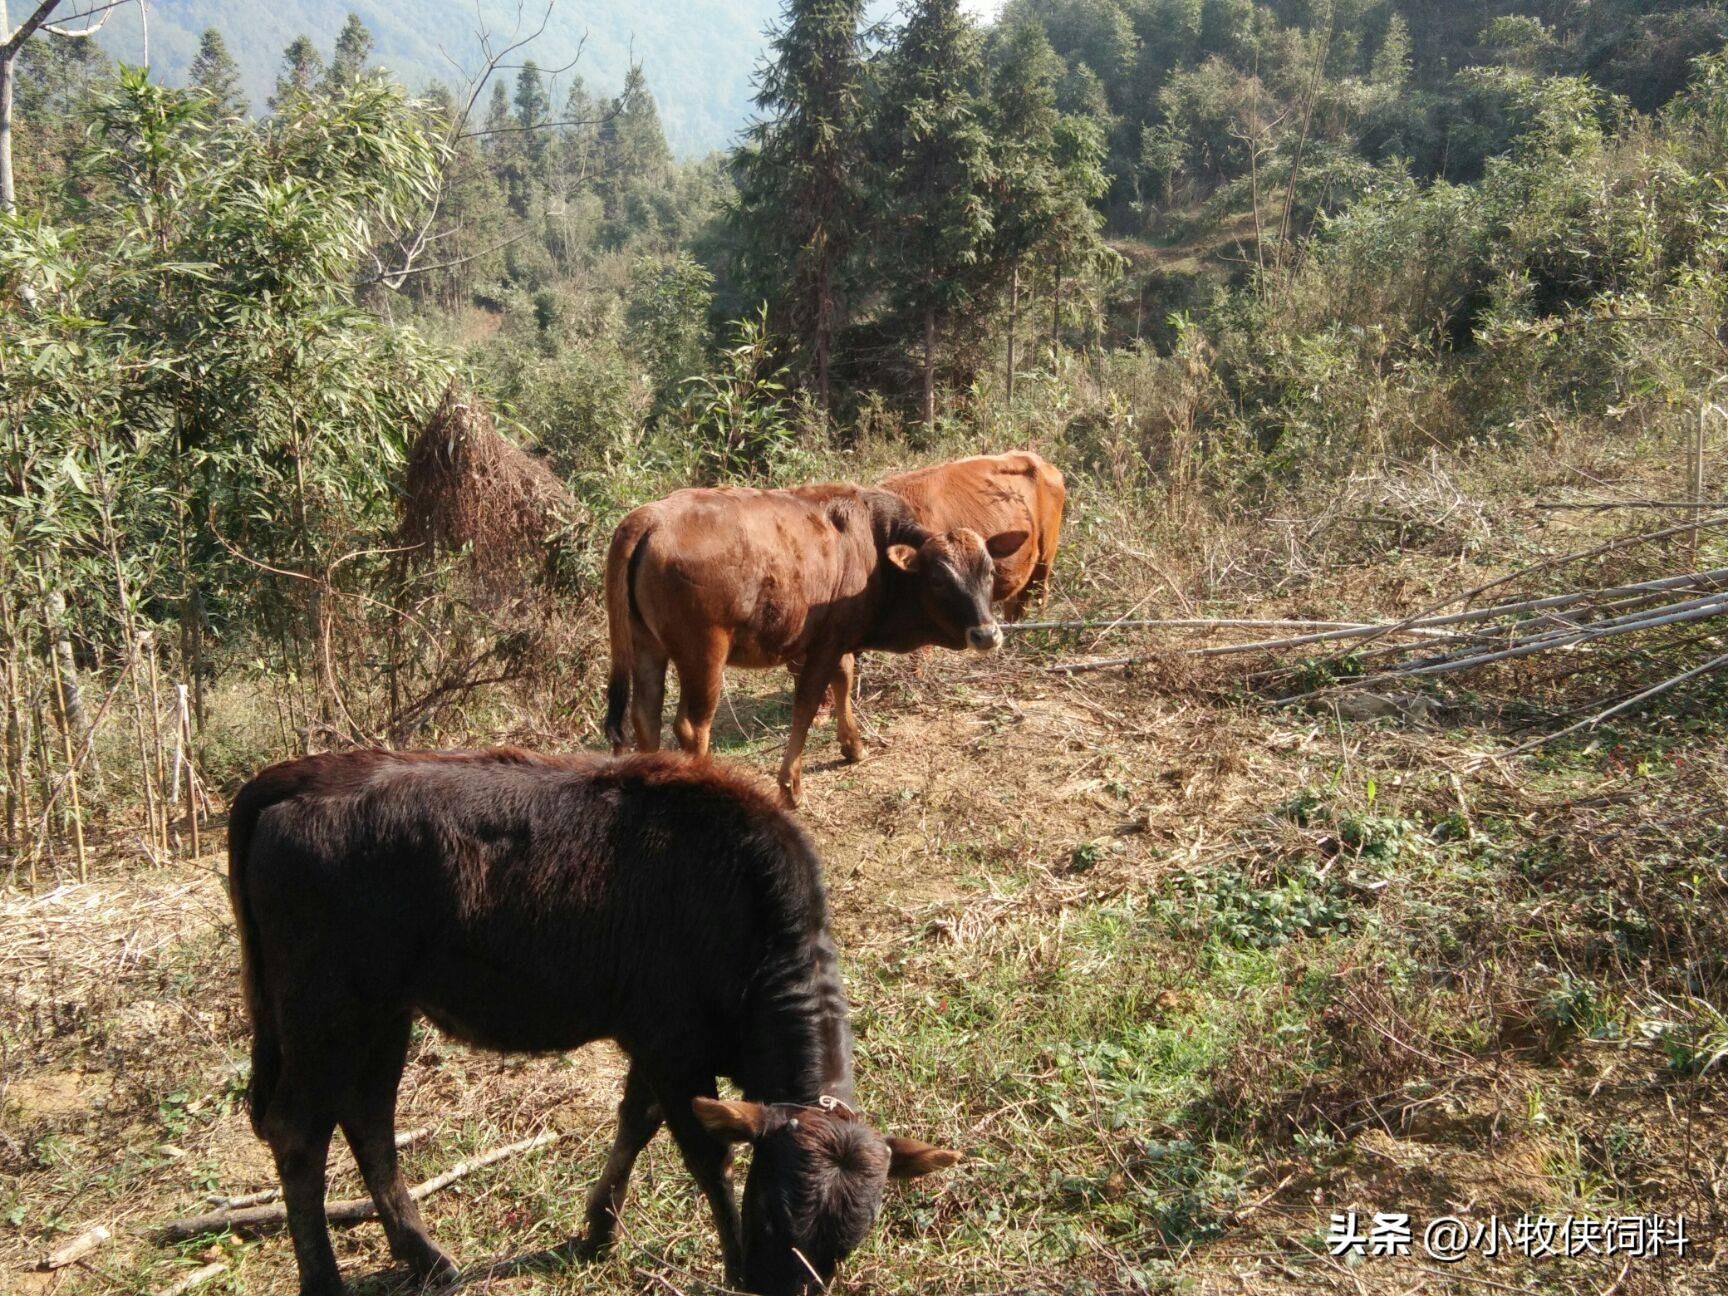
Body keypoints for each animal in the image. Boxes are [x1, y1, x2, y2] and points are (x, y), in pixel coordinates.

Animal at [608, 483, 1009, 801]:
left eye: (989, 571)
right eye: (939, 579)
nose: (987, 634)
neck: (873, 544)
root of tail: (649, 518)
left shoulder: (830, 640)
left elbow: (842, 681)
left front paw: (852, 746)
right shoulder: (823, 646)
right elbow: (807, 705)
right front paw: (791, 785)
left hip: (647, 646)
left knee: (645, 717)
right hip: (704, 655)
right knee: (692, 728)